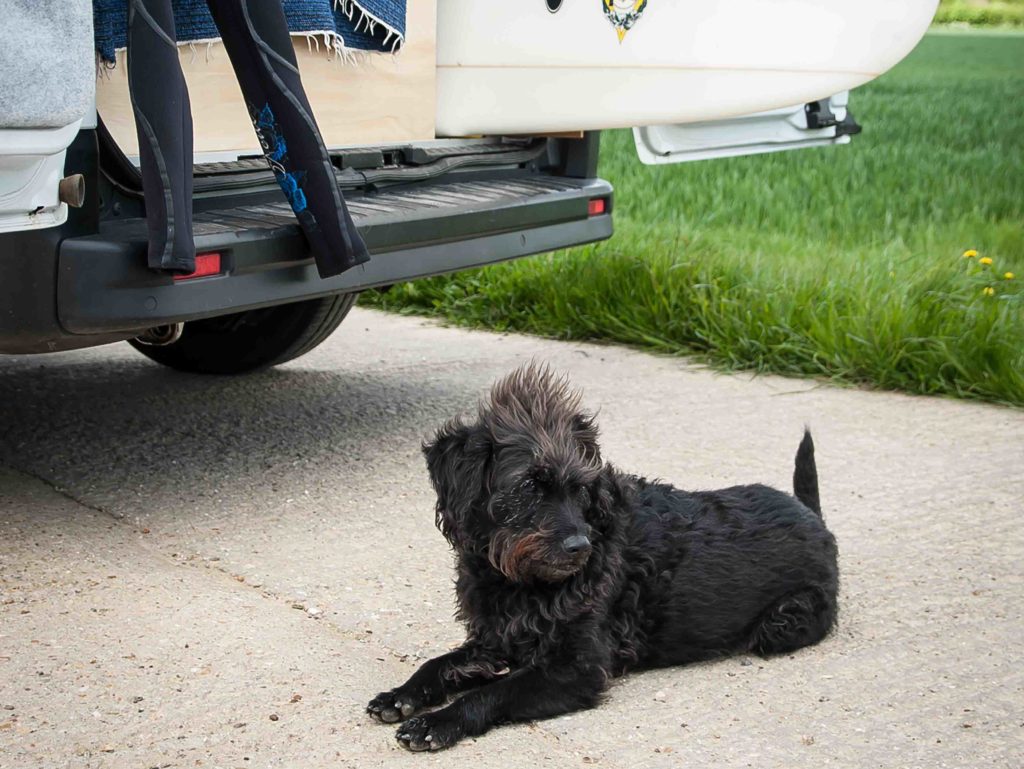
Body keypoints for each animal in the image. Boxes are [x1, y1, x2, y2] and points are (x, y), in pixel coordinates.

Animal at [368, 364, 839, 753]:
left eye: (579, 488)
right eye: (529, 486)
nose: (580, 547)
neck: (517, 581)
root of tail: (812, 514)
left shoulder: (576, 668)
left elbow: (491, 693)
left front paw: (438, 722)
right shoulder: (495, 641)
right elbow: (440, 663)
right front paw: (402, 695)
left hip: (783, 625)